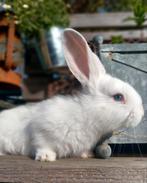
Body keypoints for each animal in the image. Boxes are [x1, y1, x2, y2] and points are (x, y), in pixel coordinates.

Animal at [0, 29, 144, 162]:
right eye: (118, 97)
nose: (141, 114)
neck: (88, 114)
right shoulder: (40, 128)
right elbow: (42, 143)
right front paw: (46, 157)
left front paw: (87, 155)